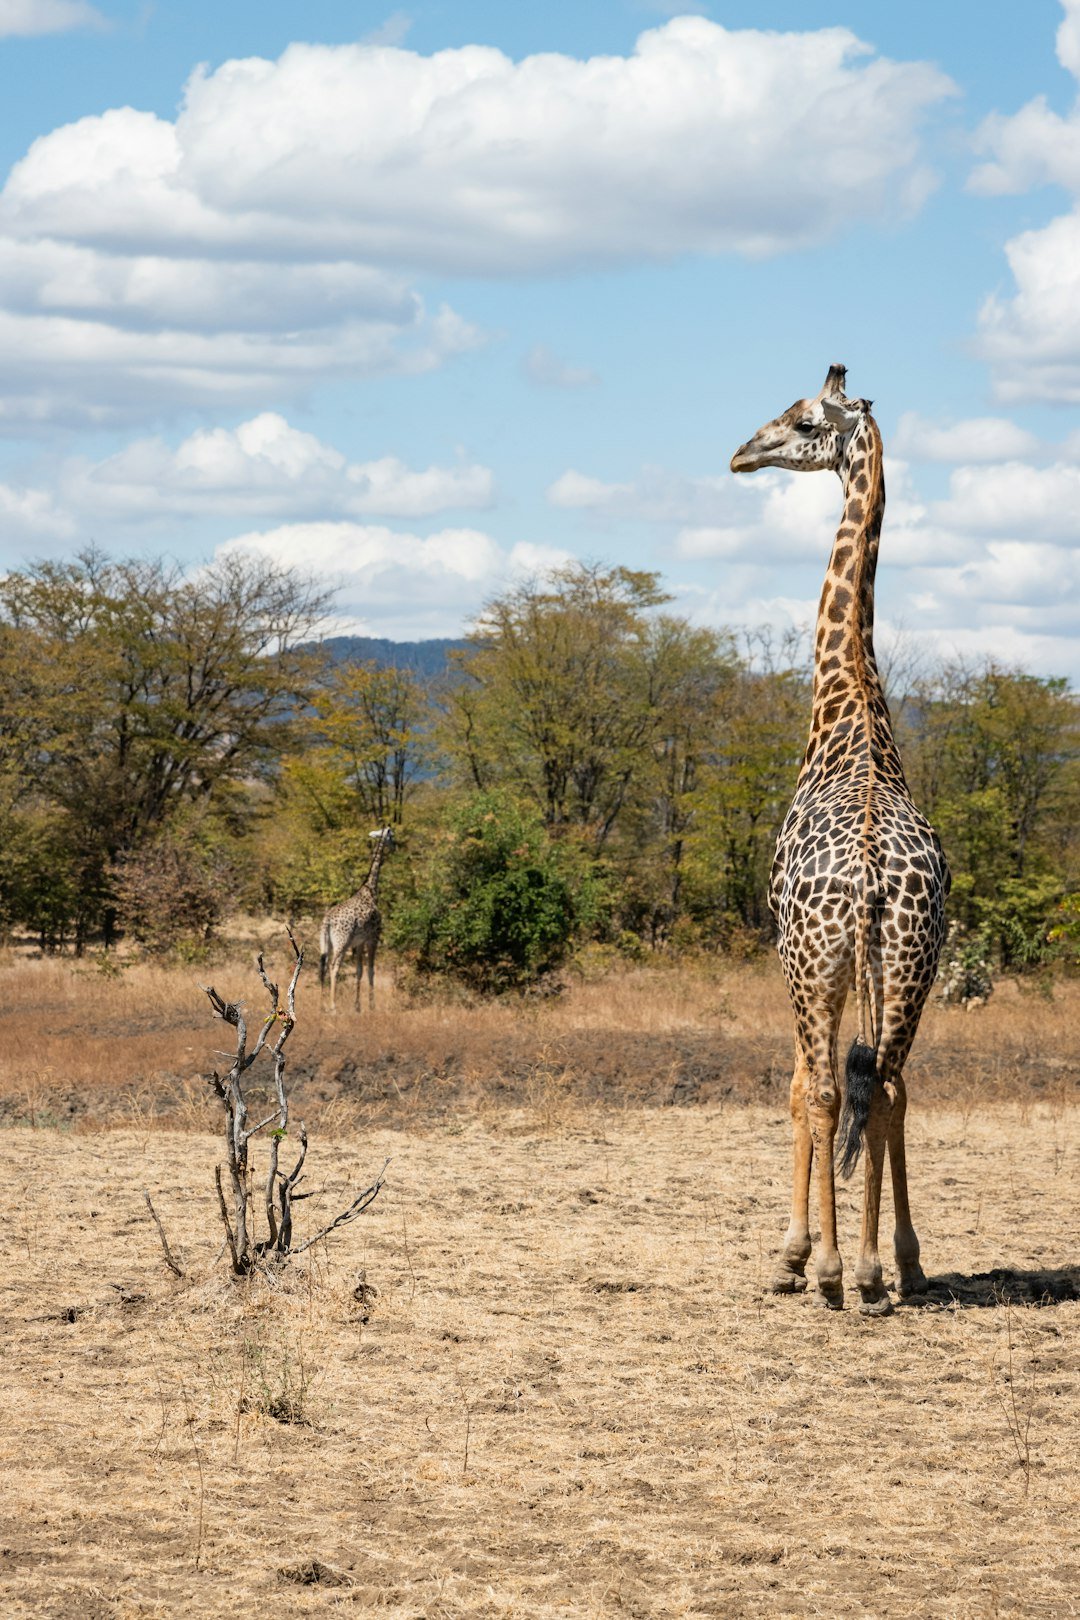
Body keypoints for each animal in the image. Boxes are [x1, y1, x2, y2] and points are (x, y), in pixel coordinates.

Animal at [318, 826, 397, 1013]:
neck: (370, 890)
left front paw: (357, 1006)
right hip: (342, 941)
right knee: (334, 966)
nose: (395, 847)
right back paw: (333, 1006)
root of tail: (327, 921)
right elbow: (371, 971)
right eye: (391, 836)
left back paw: (321, 1004)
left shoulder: (359, 942)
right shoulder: (373, 938)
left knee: (323, 966)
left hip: (326, 942)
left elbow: (359, 970)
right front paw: (372, 1005)